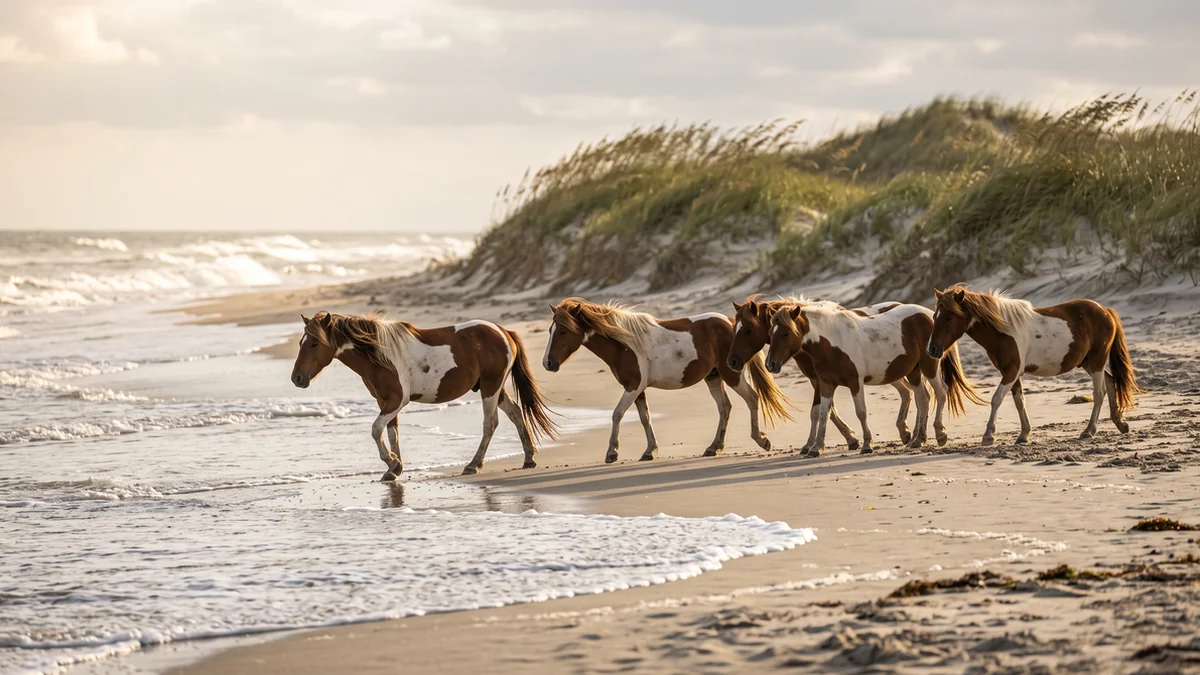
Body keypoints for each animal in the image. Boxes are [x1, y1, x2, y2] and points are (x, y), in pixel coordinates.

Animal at [290, 311, 558, 479]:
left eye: (314, 343)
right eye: (301, 342)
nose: (297, 379)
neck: (380, 355)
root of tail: (503, 330)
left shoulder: (397, 400)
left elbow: (376, 430)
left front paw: (392, 463)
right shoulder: (385, 401)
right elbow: (392, 433)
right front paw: (394, 469)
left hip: (491, 387)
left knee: (490, 423)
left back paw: (473, 465)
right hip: (493, 388)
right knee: (515, 413)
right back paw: (528, 458)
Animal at [542, 298, 793, 463]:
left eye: (563, 331)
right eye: (551, 329)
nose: (548, 363)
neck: (625, 343)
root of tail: (730, 321)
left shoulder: (633, 386)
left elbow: (617, 414)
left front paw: (612, 452)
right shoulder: (637, 389)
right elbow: (645, 417)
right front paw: (649, 451)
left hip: (731, 374)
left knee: (751, 398)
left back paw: (761, 440)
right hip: (713, 377)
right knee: (725, 407)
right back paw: (714, 447)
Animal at [727, 295, 917, 455]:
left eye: (748, 330)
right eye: (734, 328)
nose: (732, 362)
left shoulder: (821, 381)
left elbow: (819, 411)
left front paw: (846, 440)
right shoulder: (818, 380)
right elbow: (825, 411)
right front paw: (831, 441)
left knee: (909, 391)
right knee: (907, 391)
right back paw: (905, 432)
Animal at [765, 302, 984, 456]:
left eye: (787, 333)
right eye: (770, 333)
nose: (770, 365)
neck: (832, 342)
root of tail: (929, 314)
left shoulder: (855, 382)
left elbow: (861, 412)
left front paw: (867, 444)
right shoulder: (826, 384)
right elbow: (822, 414)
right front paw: (815, 448)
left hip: (929, 367)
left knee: (940, 392)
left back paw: (939, 433)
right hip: (913, 371)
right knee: (922, 399)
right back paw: (917, 439)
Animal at [926, 285, 1142, 445]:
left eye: (948, 317)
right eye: (934, 316)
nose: (932, 350)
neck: (1003, 331)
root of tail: (1105, 311)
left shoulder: (1011, 372)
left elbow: (996, 399)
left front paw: (988, 435)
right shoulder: (1011, 373)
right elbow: (1019, 401)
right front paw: (1024, 435)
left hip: (1097, 361)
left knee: (1099, 393)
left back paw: (1089, 431)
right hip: (1089, 363)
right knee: (1111, 382)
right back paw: (1120, 424)